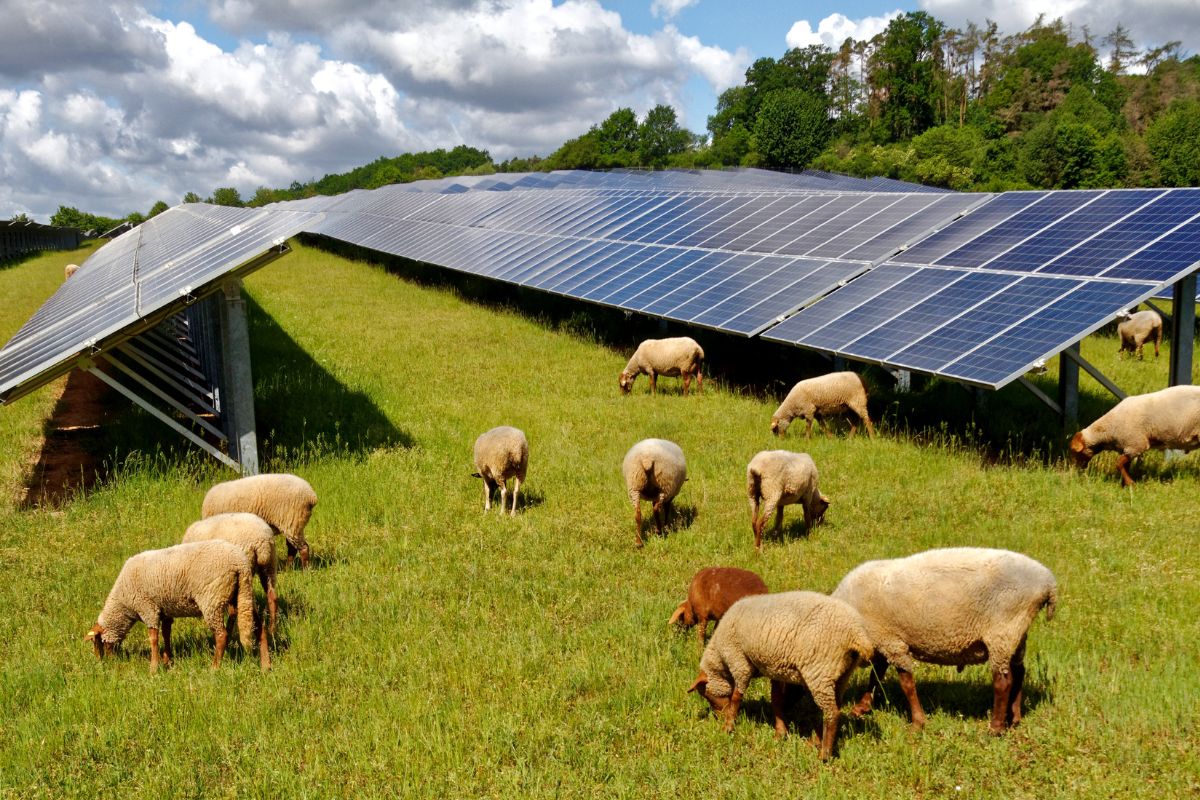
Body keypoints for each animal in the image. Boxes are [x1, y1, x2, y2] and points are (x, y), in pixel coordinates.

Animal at [84, 537, 270, 676]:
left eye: (97, 641)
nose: (104, 663)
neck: (123, 604)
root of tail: (240, 563)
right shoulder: (164, 609)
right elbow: (166, 634)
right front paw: (167, 660)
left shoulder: (148, 608)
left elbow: (153, 638)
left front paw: (154, 668)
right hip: (242, 594)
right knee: (259, 627)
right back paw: (266, 665)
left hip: (212, 599)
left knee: (221, 635)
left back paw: (214, 667)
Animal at [686, 592, 873, 762]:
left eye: (707, 695)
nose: (719, 716)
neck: (720, 656)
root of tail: (856, 633)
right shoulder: (773, 668)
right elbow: (776, 700)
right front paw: (780, 733)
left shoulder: (739, 662)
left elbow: (736, 697)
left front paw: (728, 726)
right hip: (842, 674)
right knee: (835, 708)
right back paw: (815, 741)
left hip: (819, 671)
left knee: (831, 713)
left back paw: (824, 754)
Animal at [830, 546, 1056, 734]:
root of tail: (1049, 583)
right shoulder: (883, 640)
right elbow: (875, 676)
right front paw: (862, 707)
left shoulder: (892, 642)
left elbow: (906, 683)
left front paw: (918, 722)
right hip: (1017, 632)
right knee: (1018, 672)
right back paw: (1014, 718)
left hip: (1002, 631)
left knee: (1003, 681)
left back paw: (996, 727)